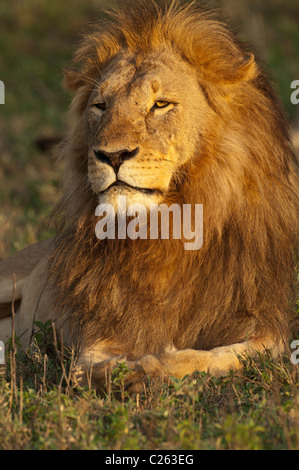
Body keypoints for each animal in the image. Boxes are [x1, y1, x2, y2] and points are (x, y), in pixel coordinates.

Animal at [0, 0, 299, 392]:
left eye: (160, 104)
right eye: (100, 106)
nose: (111, 156)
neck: (170, 226)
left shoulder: (265, 326)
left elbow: (213, 357)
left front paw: (154, 367)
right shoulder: (99, 330)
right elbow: (88, 366)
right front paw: (126, 372)